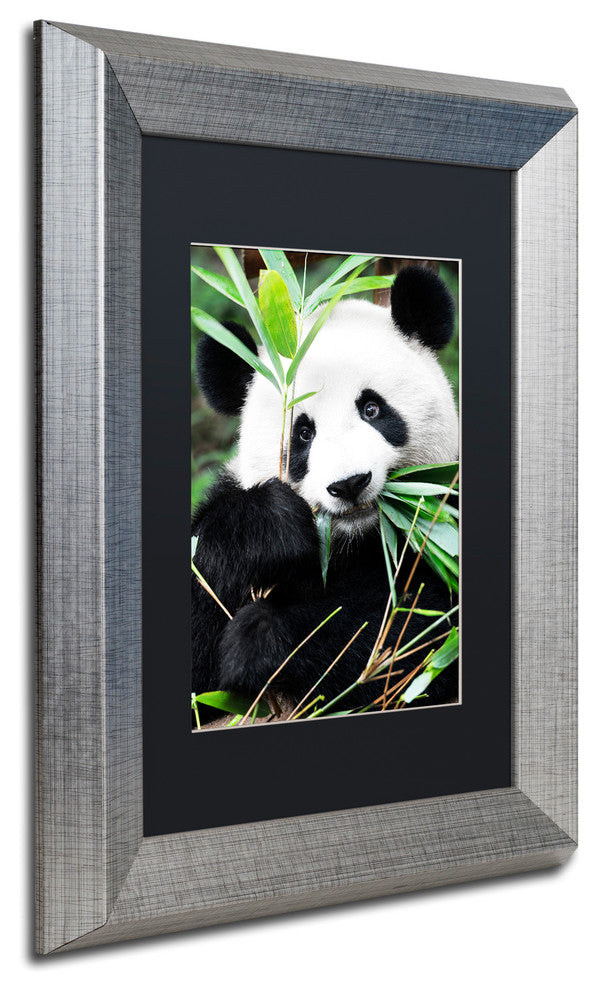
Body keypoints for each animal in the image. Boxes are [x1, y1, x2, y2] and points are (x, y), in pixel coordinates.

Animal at [191, 265, 459, 719]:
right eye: (303, 433)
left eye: (372, 409)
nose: (349, 483)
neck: (355, 541)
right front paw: (271, 529)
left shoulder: (444, 519)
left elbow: (416, 631)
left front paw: (261, 639)